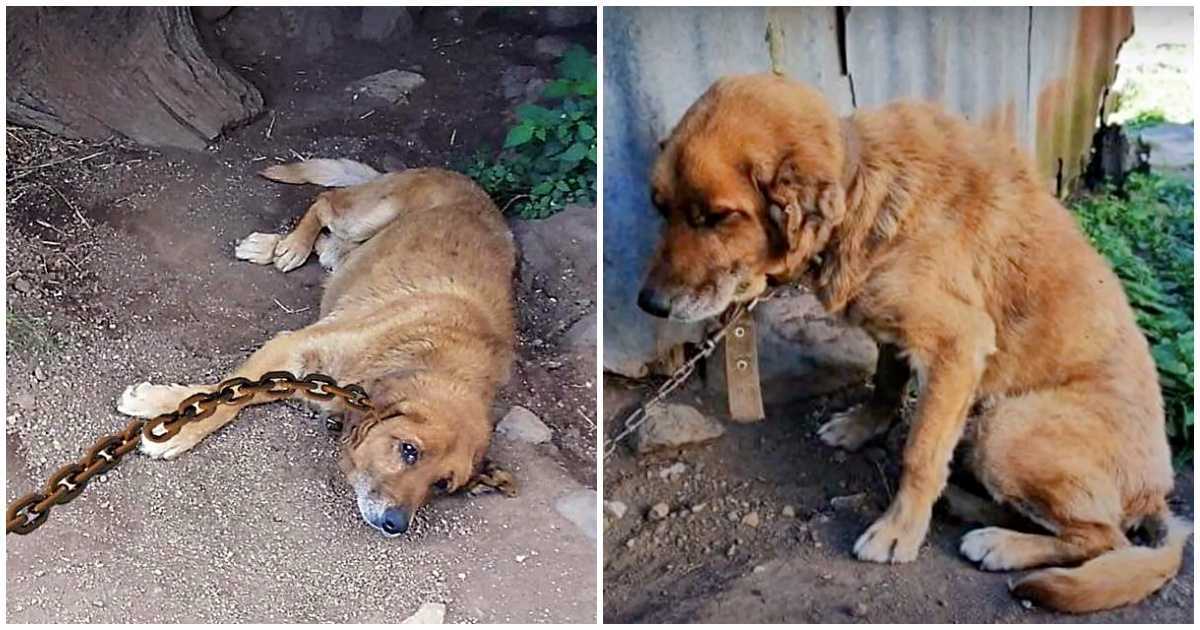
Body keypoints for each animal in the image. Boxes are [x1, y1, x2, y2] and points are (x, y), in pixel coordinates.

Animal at [117, 158, 516, 535]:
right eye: (409, 450)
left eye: (441, 485)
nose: (396, 525)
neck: (428, 356)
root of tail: (470, 185)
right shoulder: (293, 347)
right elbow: (225, 398)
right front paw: (173, 419)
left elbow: (229, 394)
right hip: (367, 216)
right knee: (325, 203)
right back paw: (288, 246)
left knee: (333, 247)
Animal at [638, 73, 1190, 609]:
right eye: (660, 208)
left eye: (717, 216)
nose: (649, 304)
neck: (862, 184)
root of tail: (1156, 493)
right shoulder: (898, 334)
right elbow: (885, 383)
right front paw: (863, 427)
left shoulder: (958, 344)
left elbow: (920, 453)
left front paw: (899, 530)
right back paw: (965, 504)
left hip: (1007, 428)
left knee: (1103, 540)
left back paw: (1002, 544)